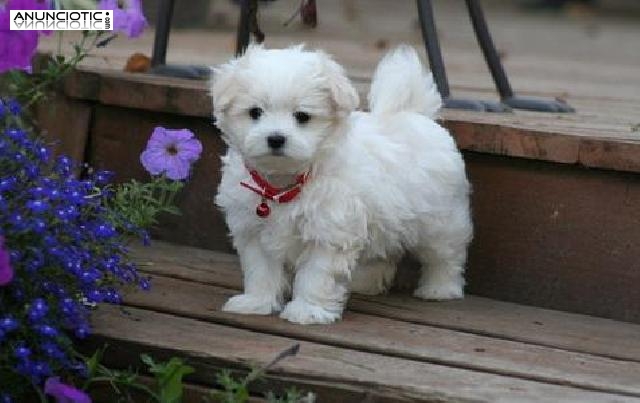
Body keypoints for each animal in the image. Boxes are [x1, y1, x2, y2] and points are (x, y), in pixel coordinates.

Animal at [210, 45, 470, 326]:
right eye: (255, 112)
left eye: (302, 116)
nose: (276, 138)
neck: (284, 185)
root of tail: (413, 113)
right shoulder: (254, 232)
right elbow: (261, 271)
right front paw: (256, 302)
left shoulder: (328, 232)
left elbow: (316, 275)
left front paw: (307, 310)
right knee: (383, 251)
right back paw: (366, 283)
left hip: (441, 220)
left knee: (445, 255)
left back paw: (440, 288)